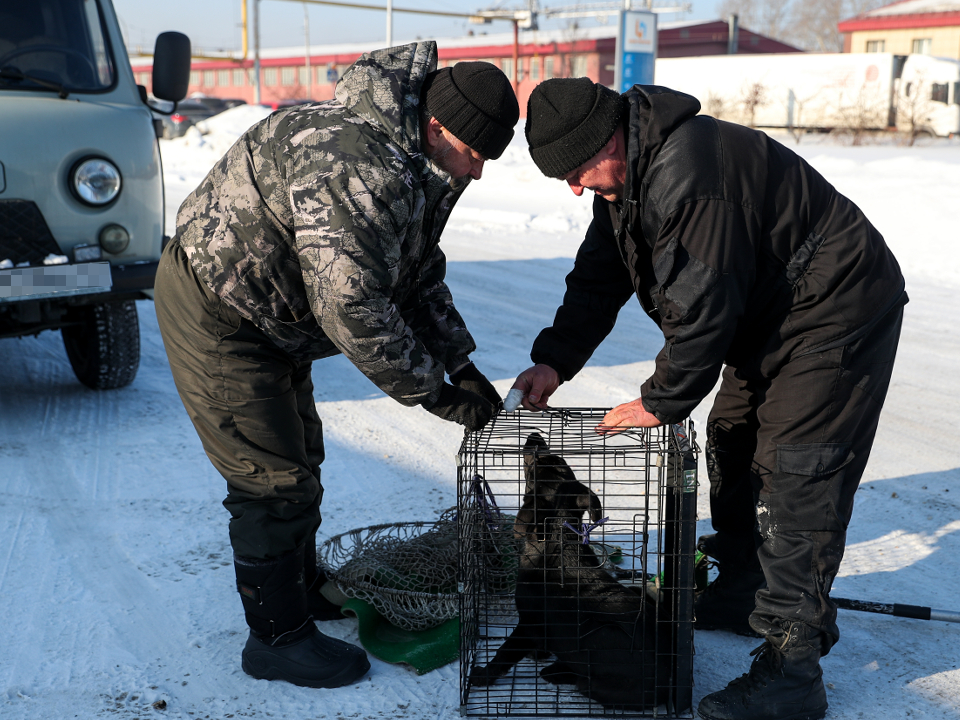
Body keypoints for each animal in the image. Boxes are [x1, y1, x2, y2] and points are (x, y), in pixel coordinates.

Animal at [468, 434, 672, 708]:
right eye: (559, 461)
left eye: (536, 465)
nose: (534, 436)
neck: (558, 538)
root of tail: (669, 684)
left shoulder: (529, 622)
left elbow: (504, 653)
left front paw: (482, 676)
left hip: (599, 640)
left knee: (582, 678)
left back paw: (557, 671)